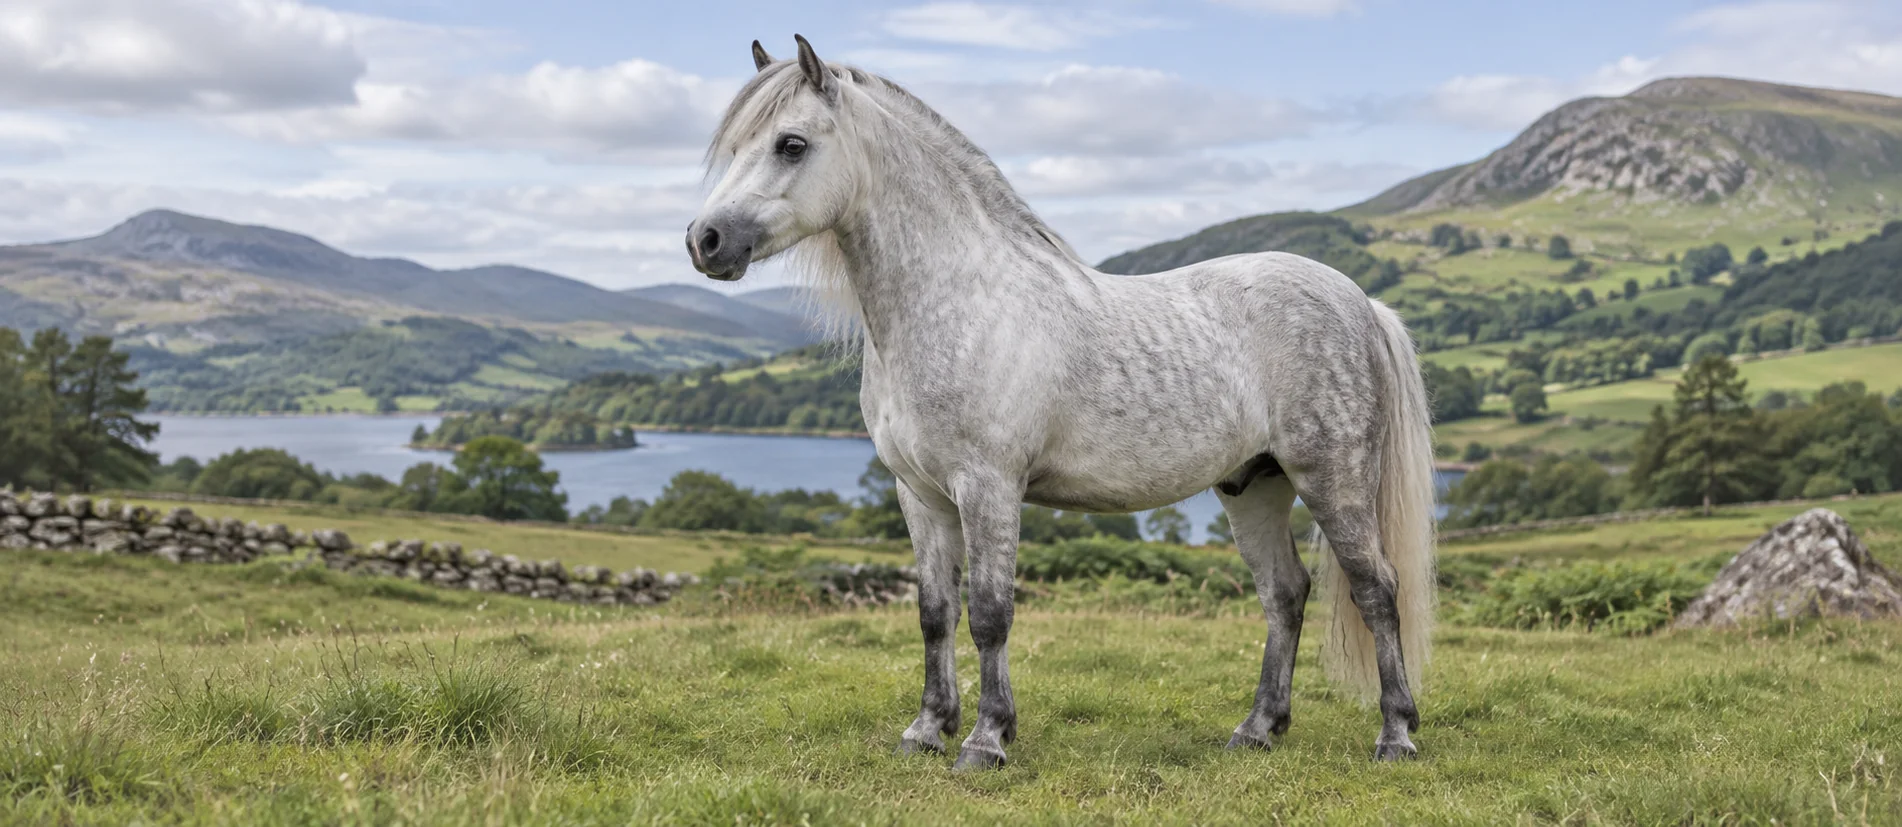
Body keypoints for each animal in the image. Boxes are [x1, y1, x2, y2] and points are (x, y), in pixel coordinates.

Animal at [686, 35, 1437, 769]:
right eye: (736, 147)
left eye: (791, 144)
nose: (705, 241)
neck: (959, 301)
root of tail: (1361, 301)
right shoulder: (919, 493)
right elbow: (935, 613)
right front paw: (926, 730)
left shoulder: (988, 486)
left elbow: (990, 613)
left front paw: (986, 739)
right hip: (1254, 485)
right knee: (1285, 594)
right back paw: (1257, 729)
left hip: (1331, 477)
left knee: (1377, 588)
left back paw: (1396, 735)